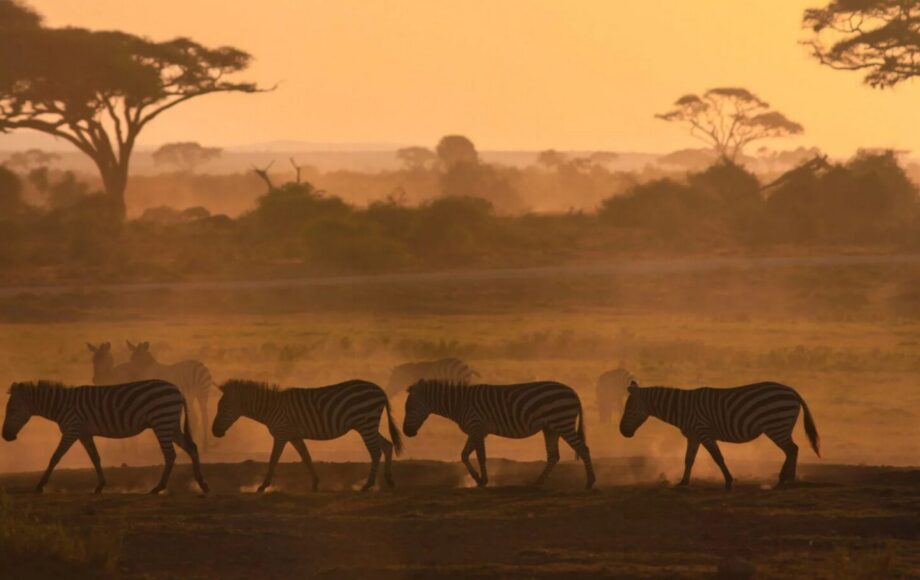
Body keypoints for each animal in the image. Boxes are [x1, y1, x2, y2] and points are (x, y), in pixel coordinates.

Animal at [2, 380, 208, 494]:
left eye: (12, 410)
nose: (5, 436)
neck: (61, 406)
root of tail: (177, 390)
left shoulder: (71, 430)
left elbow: (55, 457)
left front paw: (40, 485)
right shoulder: (84, 433)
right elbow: (95, 458)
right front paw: (100, 486)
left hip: (162, 422)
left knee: (170, 455)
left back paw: (159, 487)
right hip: (170, 424)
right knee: (192, 447)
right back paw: (201, 484)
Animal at [211, 379, 402, 492]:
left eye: (224, 407)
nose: (214, 431)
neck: (270, 408)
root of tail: (379, 389)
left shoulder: (281, 434)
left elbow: (273, 459)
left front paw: (263, 486)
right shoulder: (294, 436)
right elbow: (306, 457)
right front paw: (315, 483)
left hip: (366, 423)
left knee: (376, 451)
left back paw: (368, 485)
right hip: (367, 424)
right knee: (387, 445)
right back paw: (389, 481)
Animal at [403, 380, 595, 489]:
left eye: (409, 408)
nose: (406, 432)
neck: (459, 403)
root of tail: (573, 391)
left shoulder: (477, 427)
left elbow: (480, 456)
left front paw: (484, 480)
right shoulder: (476, 431)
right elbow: (464, 455)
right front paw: (477, 478)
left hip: (562, 422)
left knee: (583, 449)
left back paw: (590, 482)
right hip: (551, 427)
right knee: (554, 455)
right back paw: (538, 482)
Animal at [619, 381, 820, 490]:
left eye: (628, 408)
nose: (622, 431)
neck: (682, 409)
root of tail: (792, 391)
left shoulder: (704, 432)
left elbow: (718, 457)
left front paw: (729, 482)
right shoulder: (693, 436)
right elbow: (689, 459)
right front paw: (683, 482)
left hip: (776, 425)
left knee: (792, 449)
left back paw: (784, 480)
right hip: (780, 426)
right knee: (792, 450)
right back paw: (786, 480)